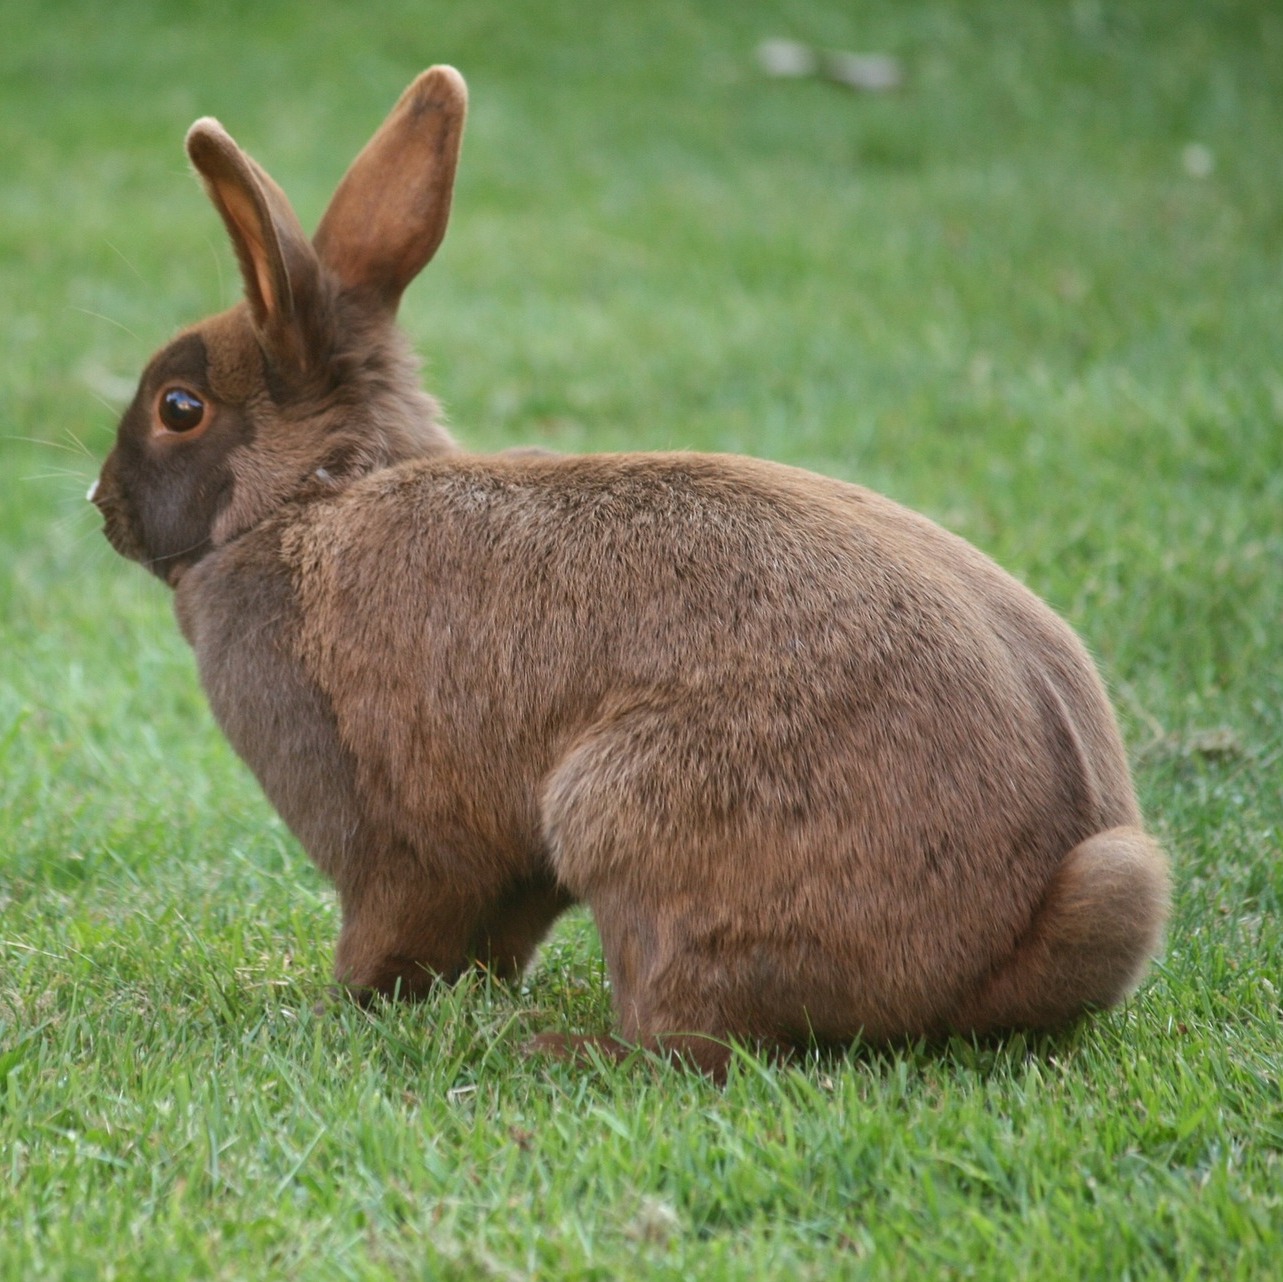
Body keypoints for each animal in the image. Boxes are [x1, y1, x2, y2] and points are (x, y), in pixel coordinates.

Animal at [90, 65, 1175, 1077]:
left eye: (179, 408)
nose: (101, 504)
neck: (308, 498)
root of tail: (1002, 951)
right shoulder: (507, 868)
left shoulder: (386, 831)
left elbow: (395, 925)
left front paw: (334, 1005)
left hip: (628, 818)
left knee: (689, 1035)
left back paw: (564, 1050)